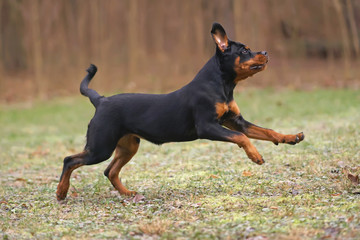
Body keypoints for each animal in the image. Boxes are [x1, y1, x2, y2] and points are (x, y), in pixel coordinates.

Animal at [56, 23, 304, 201]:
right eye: (244, 50)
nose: (265, 52)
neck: (221, 84)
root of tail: (100, 100)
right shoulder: (208, 127)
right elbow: (241, 138)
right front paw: (254, 155)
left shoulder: (235, 120)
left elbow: (265, 131)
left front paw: (290, 137)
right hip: (101, 146)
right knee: (70, 160)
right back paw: (61, 192)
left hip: (127, 145)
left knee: (110, 171)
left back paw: (127, 194)